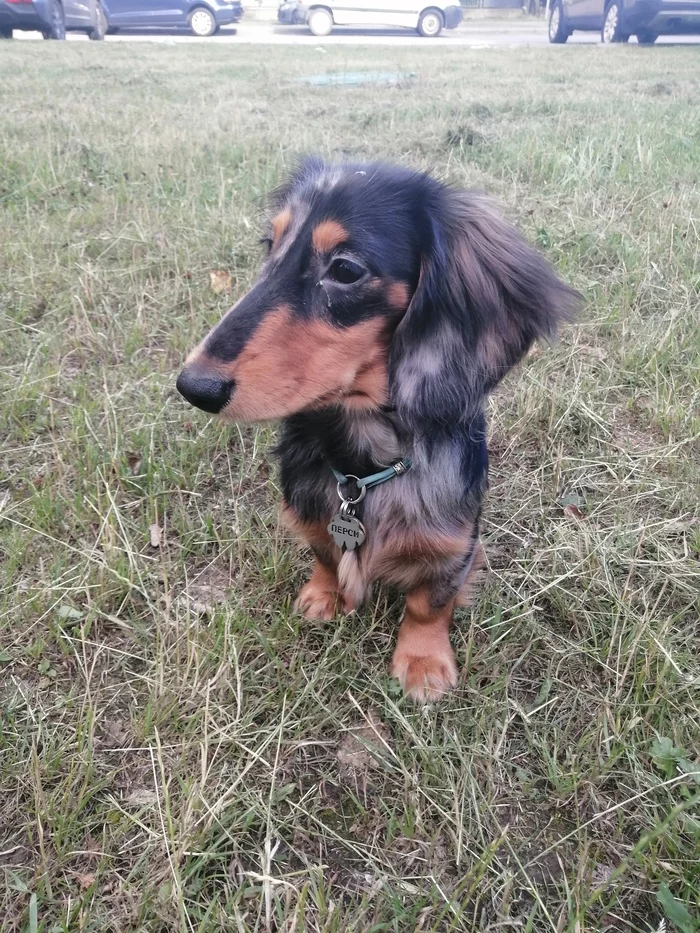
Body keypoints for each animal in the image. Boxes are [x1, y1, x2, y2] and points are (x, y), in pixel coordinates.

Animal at [176, 158, 580, 700]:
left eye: (345, 269)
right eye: (269, 244)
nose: (193, 386)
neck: (362, 468)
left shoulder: (453, 543)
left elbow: (430, 601)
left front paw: (423, 660)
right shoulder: (311, 513)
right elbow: (325, 555)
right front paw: (323, 594)